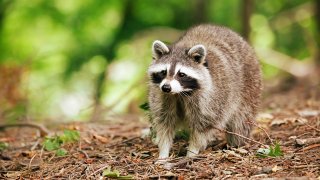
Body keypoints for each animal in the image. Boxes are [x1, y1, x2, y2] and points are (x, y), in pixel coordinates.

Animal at [148, 24, 262, 160]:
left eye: (181, 74)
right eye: (163, 72)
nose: (166, 87)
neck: (179, 93)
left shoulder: (210, 99)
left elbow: (203, 126)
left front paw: (192, 152)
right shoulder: (163, 97)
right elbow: (165, 123)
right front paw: (164, 153)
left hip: (250, 87)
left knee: (240, 123)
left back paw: (237, 144)